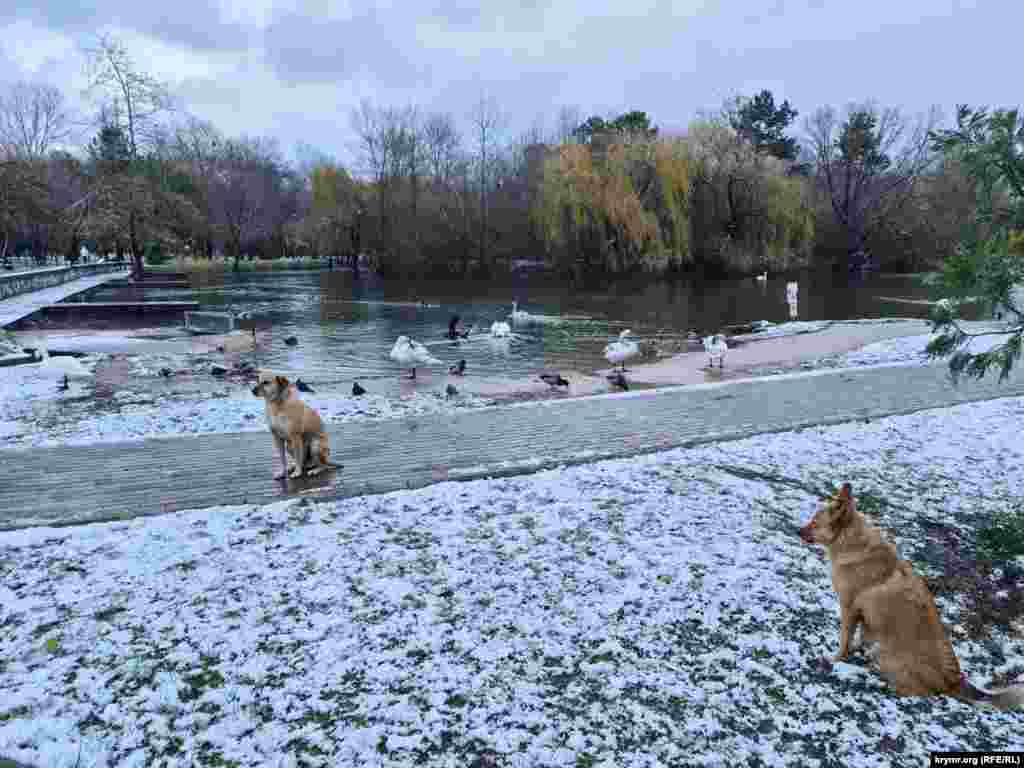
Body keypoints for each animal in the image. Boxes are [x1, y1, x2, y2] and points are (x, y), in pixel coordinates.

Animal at [798, 483, 1024, 712]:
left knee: (917, 692)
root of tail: (953, 680)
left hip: (889, 656)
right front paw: (856, 650)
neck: (851, 543)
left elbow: (845, 639)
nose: (796, 531)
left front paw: (837, 658)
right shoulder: (866, 616)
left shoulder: (849, 607)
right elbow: (861, 636)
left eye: (815, 523)